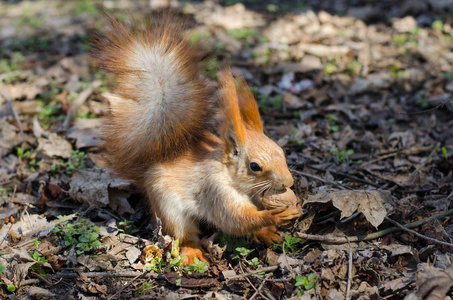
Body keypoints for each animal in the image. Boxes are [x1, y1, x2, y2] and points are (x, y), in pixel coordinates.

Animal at [90, 14, 302, 264]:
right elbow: (235, 220)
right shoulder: (215, 190)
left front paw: (272, 225)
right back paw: (192, 253)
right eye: (255, 166)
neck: (231, 177)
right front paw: (275, 216)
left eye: (282, 152)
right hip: (168, 207)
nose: (288, 183)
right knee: (184, 235)